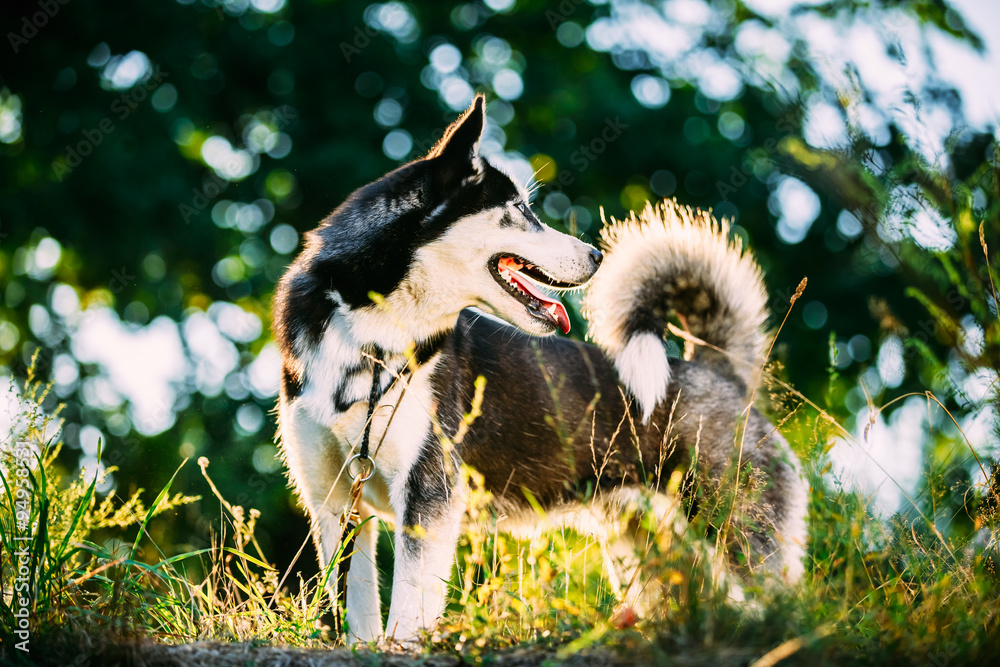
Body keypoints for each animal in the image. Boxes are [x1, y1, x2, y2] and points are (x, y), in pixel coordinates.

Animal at [272, 96, 804, 644]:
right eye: (521, 211)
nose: (597, 254)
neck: (372, 340)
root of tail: (721, 371)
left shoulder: (427, 496)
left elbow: (408, 608)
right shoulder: (336, 504)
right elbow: (356, 611)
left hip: (734, 530)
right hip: (646, 545)